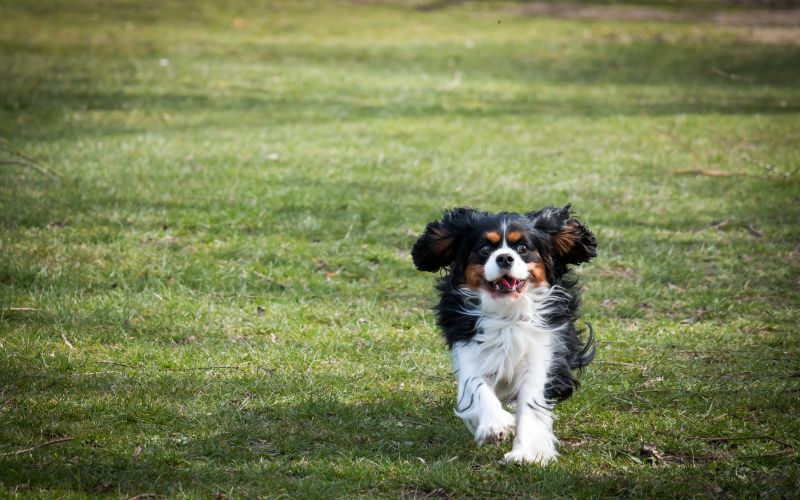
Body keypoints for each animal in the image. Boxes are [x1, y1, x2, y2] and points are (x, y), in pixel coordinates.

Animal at [412, 204, 592, 464]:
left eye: (523, 248)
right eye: (485, 248)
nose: (505, 257)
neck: (507, 313)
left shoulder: (541, 354)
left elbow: (531, 402)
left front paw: (526, 452)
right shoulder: (469, 349)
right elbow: (477, 386)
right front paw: (495, 425)